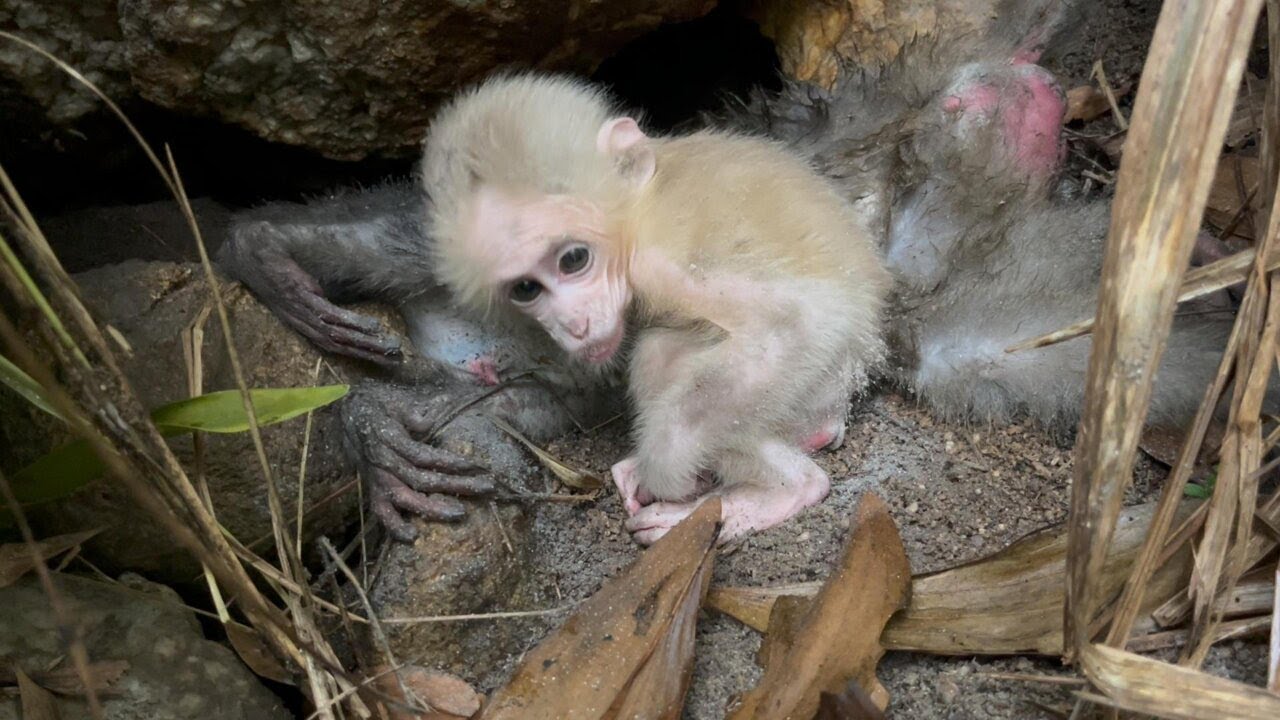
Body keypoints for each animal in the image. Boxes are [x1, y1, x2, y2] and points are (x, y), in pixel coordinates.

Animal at [419, 73, 892, 544]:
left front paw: (668, 477)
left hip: (818, 386)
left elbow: (790, 325)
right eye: (525, 288)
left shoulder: (658, 264)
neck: (638, 211)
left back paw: (781, 490)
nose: (573, 325)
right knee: (660, 353)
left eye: (573, 259)